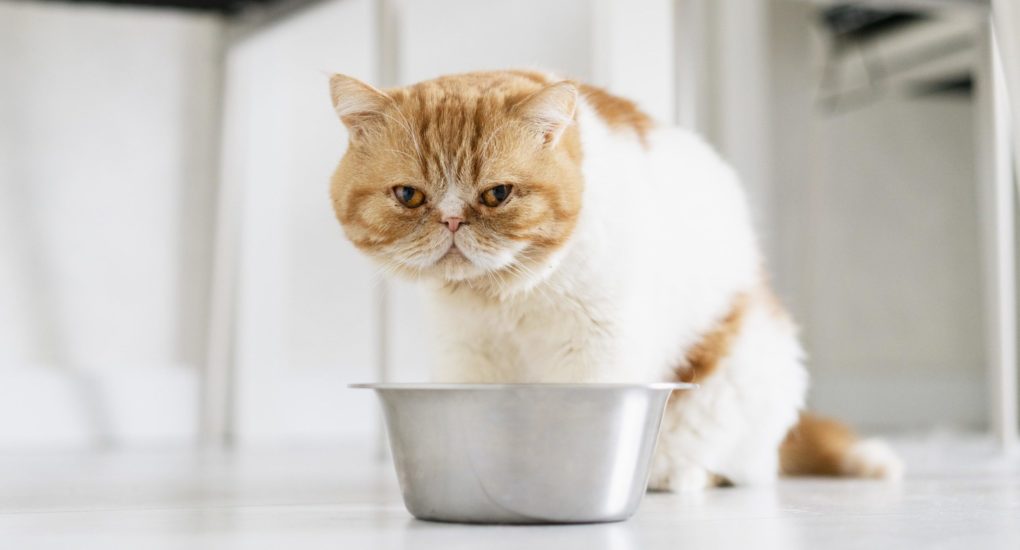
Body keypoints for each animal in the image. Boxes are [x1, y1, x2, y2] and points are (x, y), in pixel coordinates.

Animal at [324, 69, 901, 489]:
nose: (450, 221)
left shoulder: (595, 347)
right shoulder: (466, 356)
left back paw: (678, 477)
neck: (506, 298)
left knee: (726, 468)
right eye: (408, 196)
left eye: (496, 194)